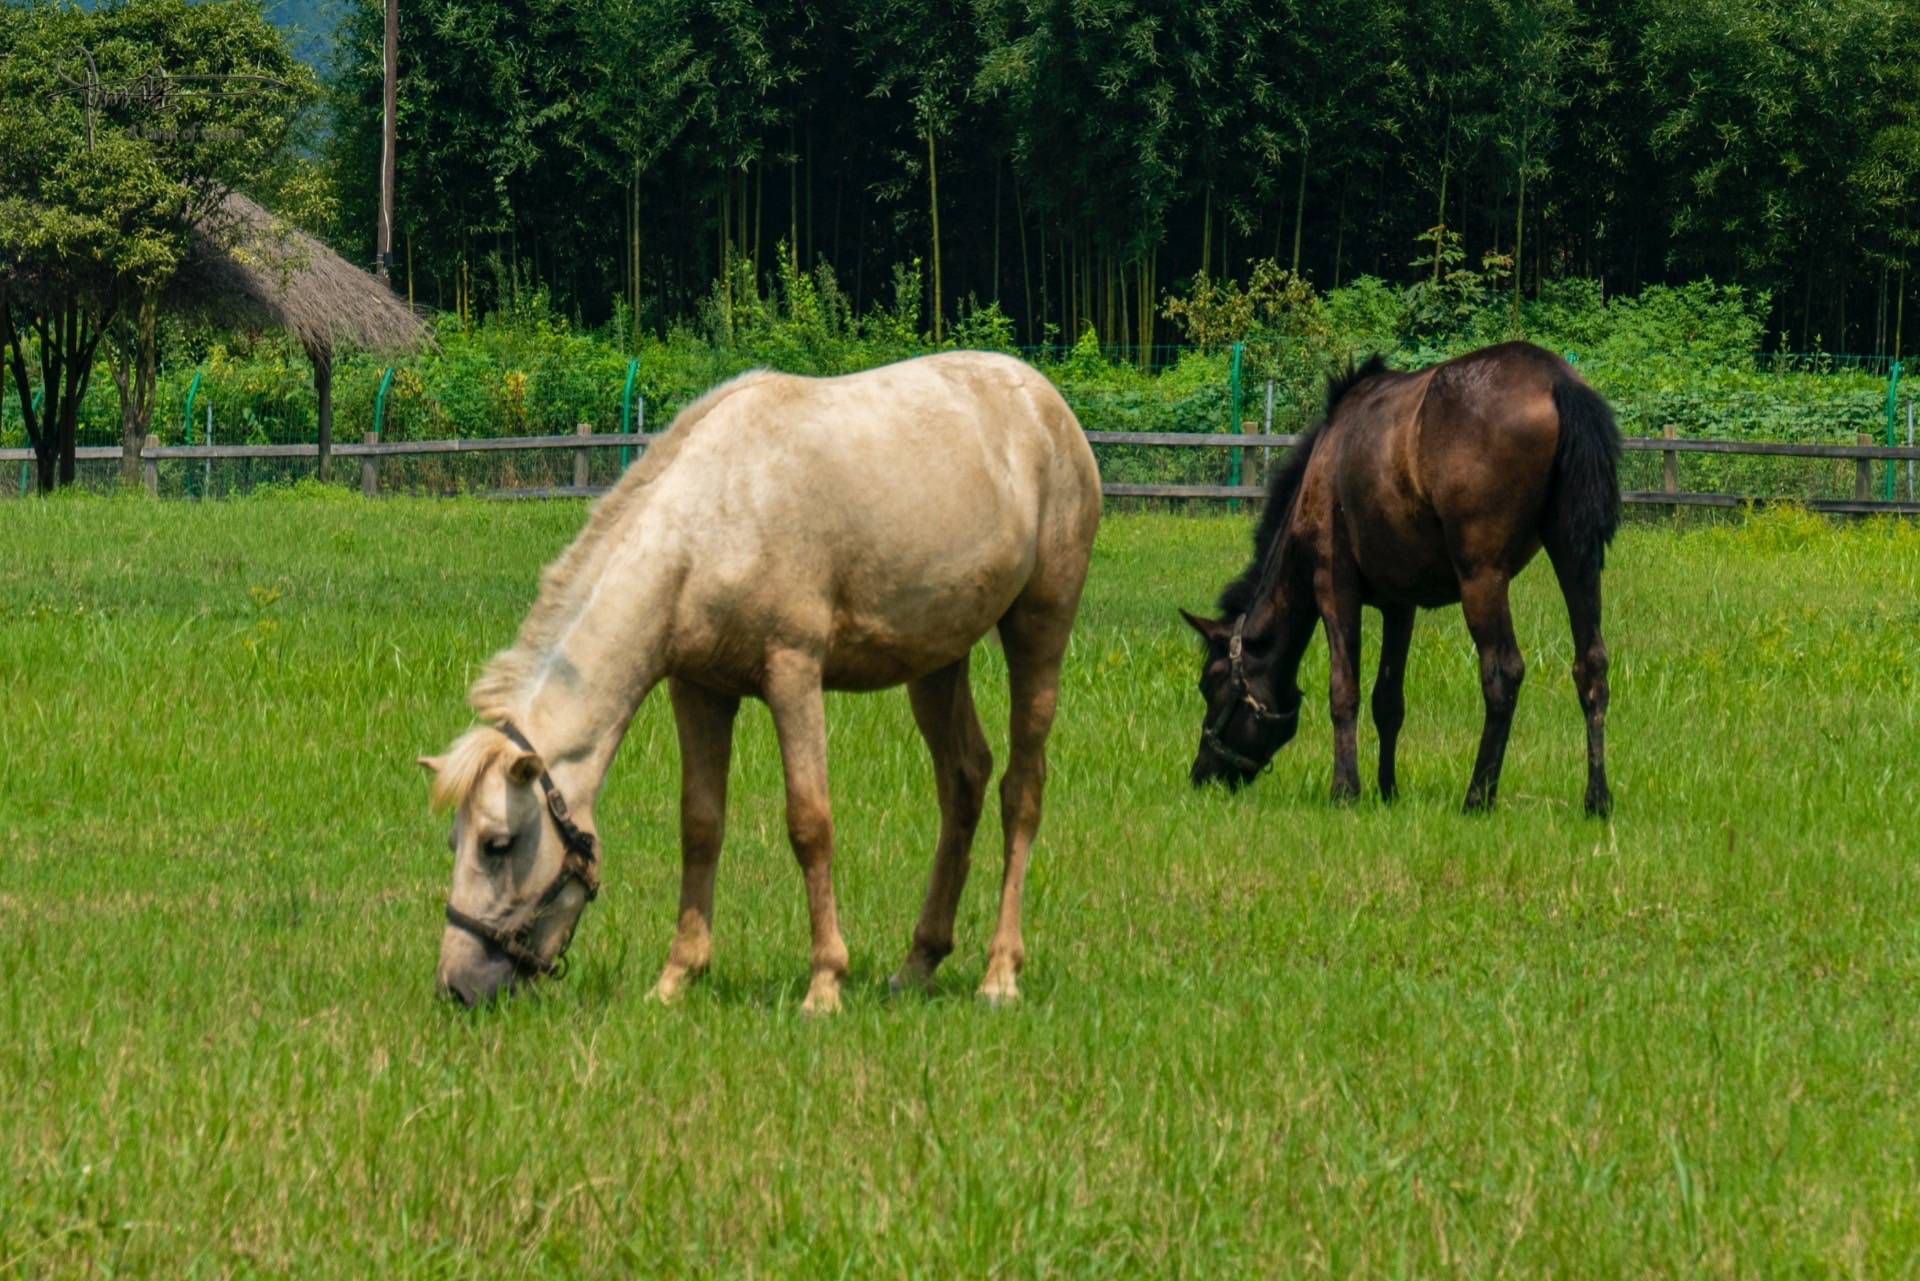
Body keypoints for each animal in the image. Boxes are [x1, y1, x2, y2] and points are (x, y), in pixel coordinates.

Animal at [426, 351, 1105, 1014]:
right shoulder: (699, 690)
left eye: (496, 844)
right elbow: (700, 826)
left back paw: (1000, 974)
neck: (706, 526)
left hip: (1040, 631)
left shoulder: (793, 673)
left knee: (1021, 789)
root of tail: (1044, 399)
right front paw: (676, 978)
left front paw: (824, 985)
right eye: (454, 839)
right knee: (963, 781)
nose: (456, 988)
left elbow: (810, 823)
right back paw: (917, 964)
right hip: (937, 661)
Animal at [1182, 339, 1620, 818]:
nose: (1202, 775)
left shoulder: (1333, 586)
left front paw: (1346, 789)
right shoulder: (1400, 604)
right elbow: (1388, 700)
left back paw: (1478, 795)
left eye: (1209, 683)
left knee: (1502, 673)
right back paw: (1597, 798)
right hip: (1575, 555)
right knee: (1591, 665)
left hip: (1482, 576)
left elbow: (1344, 692)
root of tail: (1557, 381)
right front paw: (1387, 789)